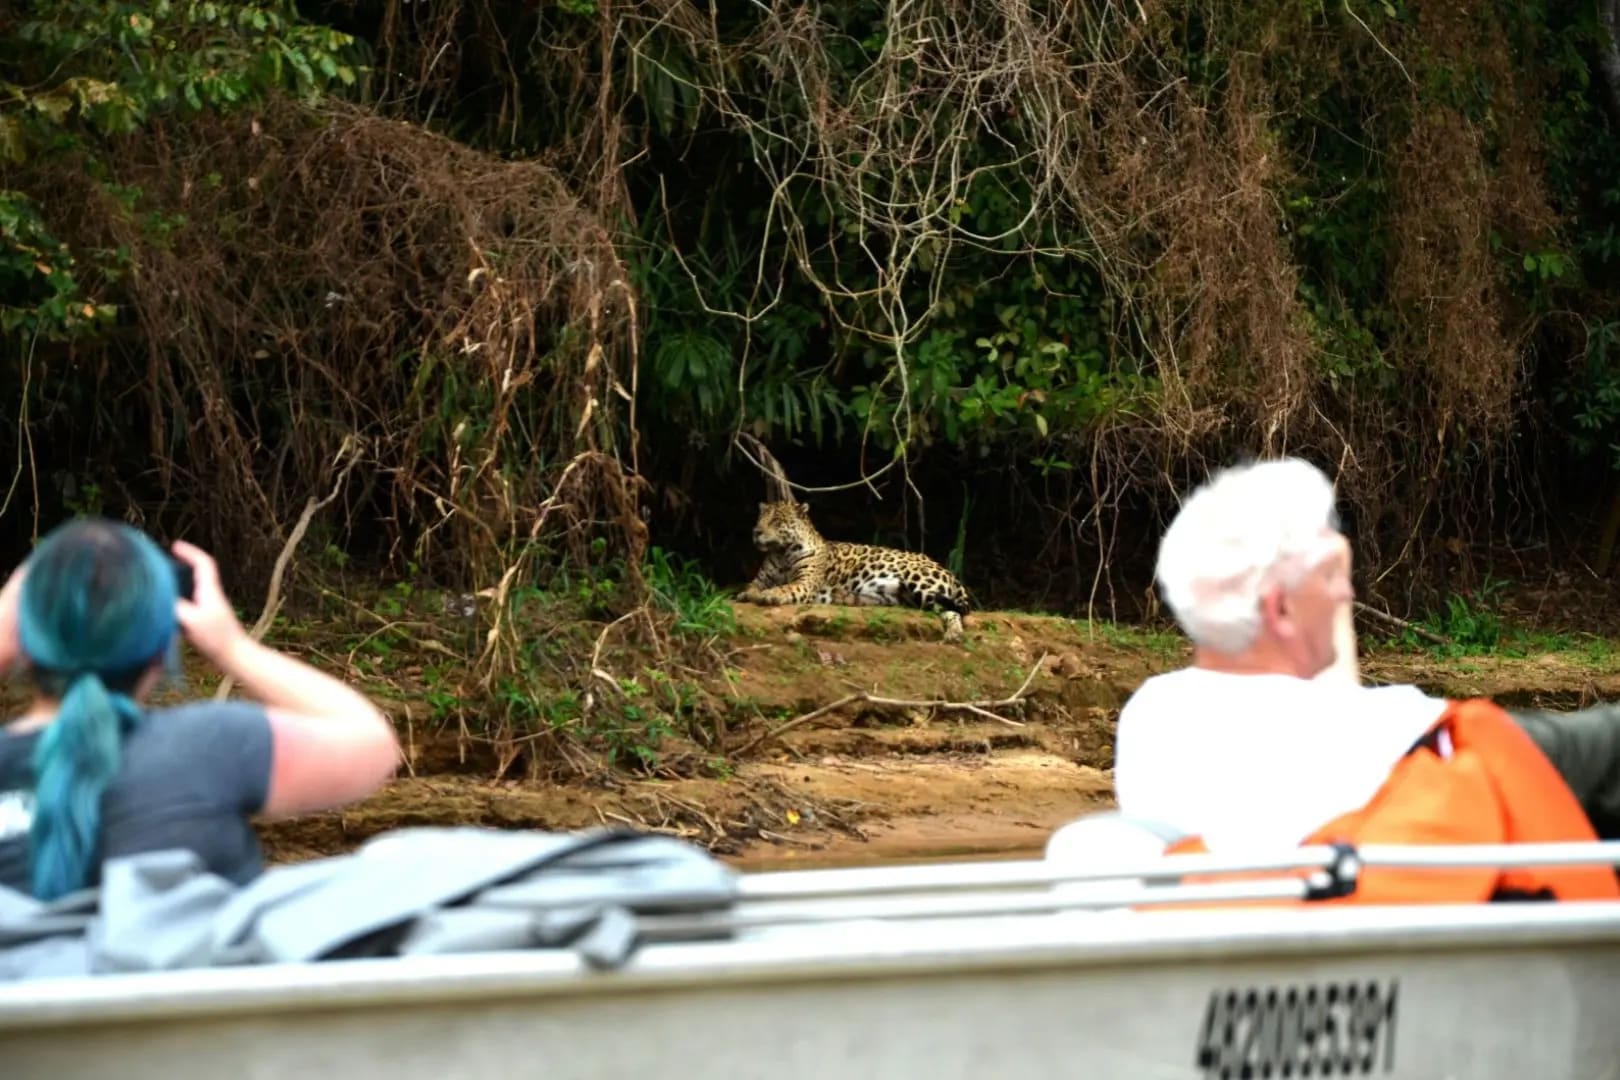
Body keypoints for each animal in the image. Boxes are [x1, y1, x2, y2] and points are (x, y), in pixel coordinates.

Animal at [735, 500, 973, 643]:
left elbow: (787, 587)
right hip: (902, 596)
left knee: (955, 611)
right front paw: (747, 594)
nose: (756, 532)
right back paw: (846, 597)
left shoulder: (805, 582)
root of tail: (945, 569)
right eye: (759, 520)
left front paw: (770, 595)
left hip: (919, 581)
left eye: (776, 521)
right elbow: (752, 585)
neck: (782, 552)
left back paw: (954, 633)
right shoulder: (762, 578)